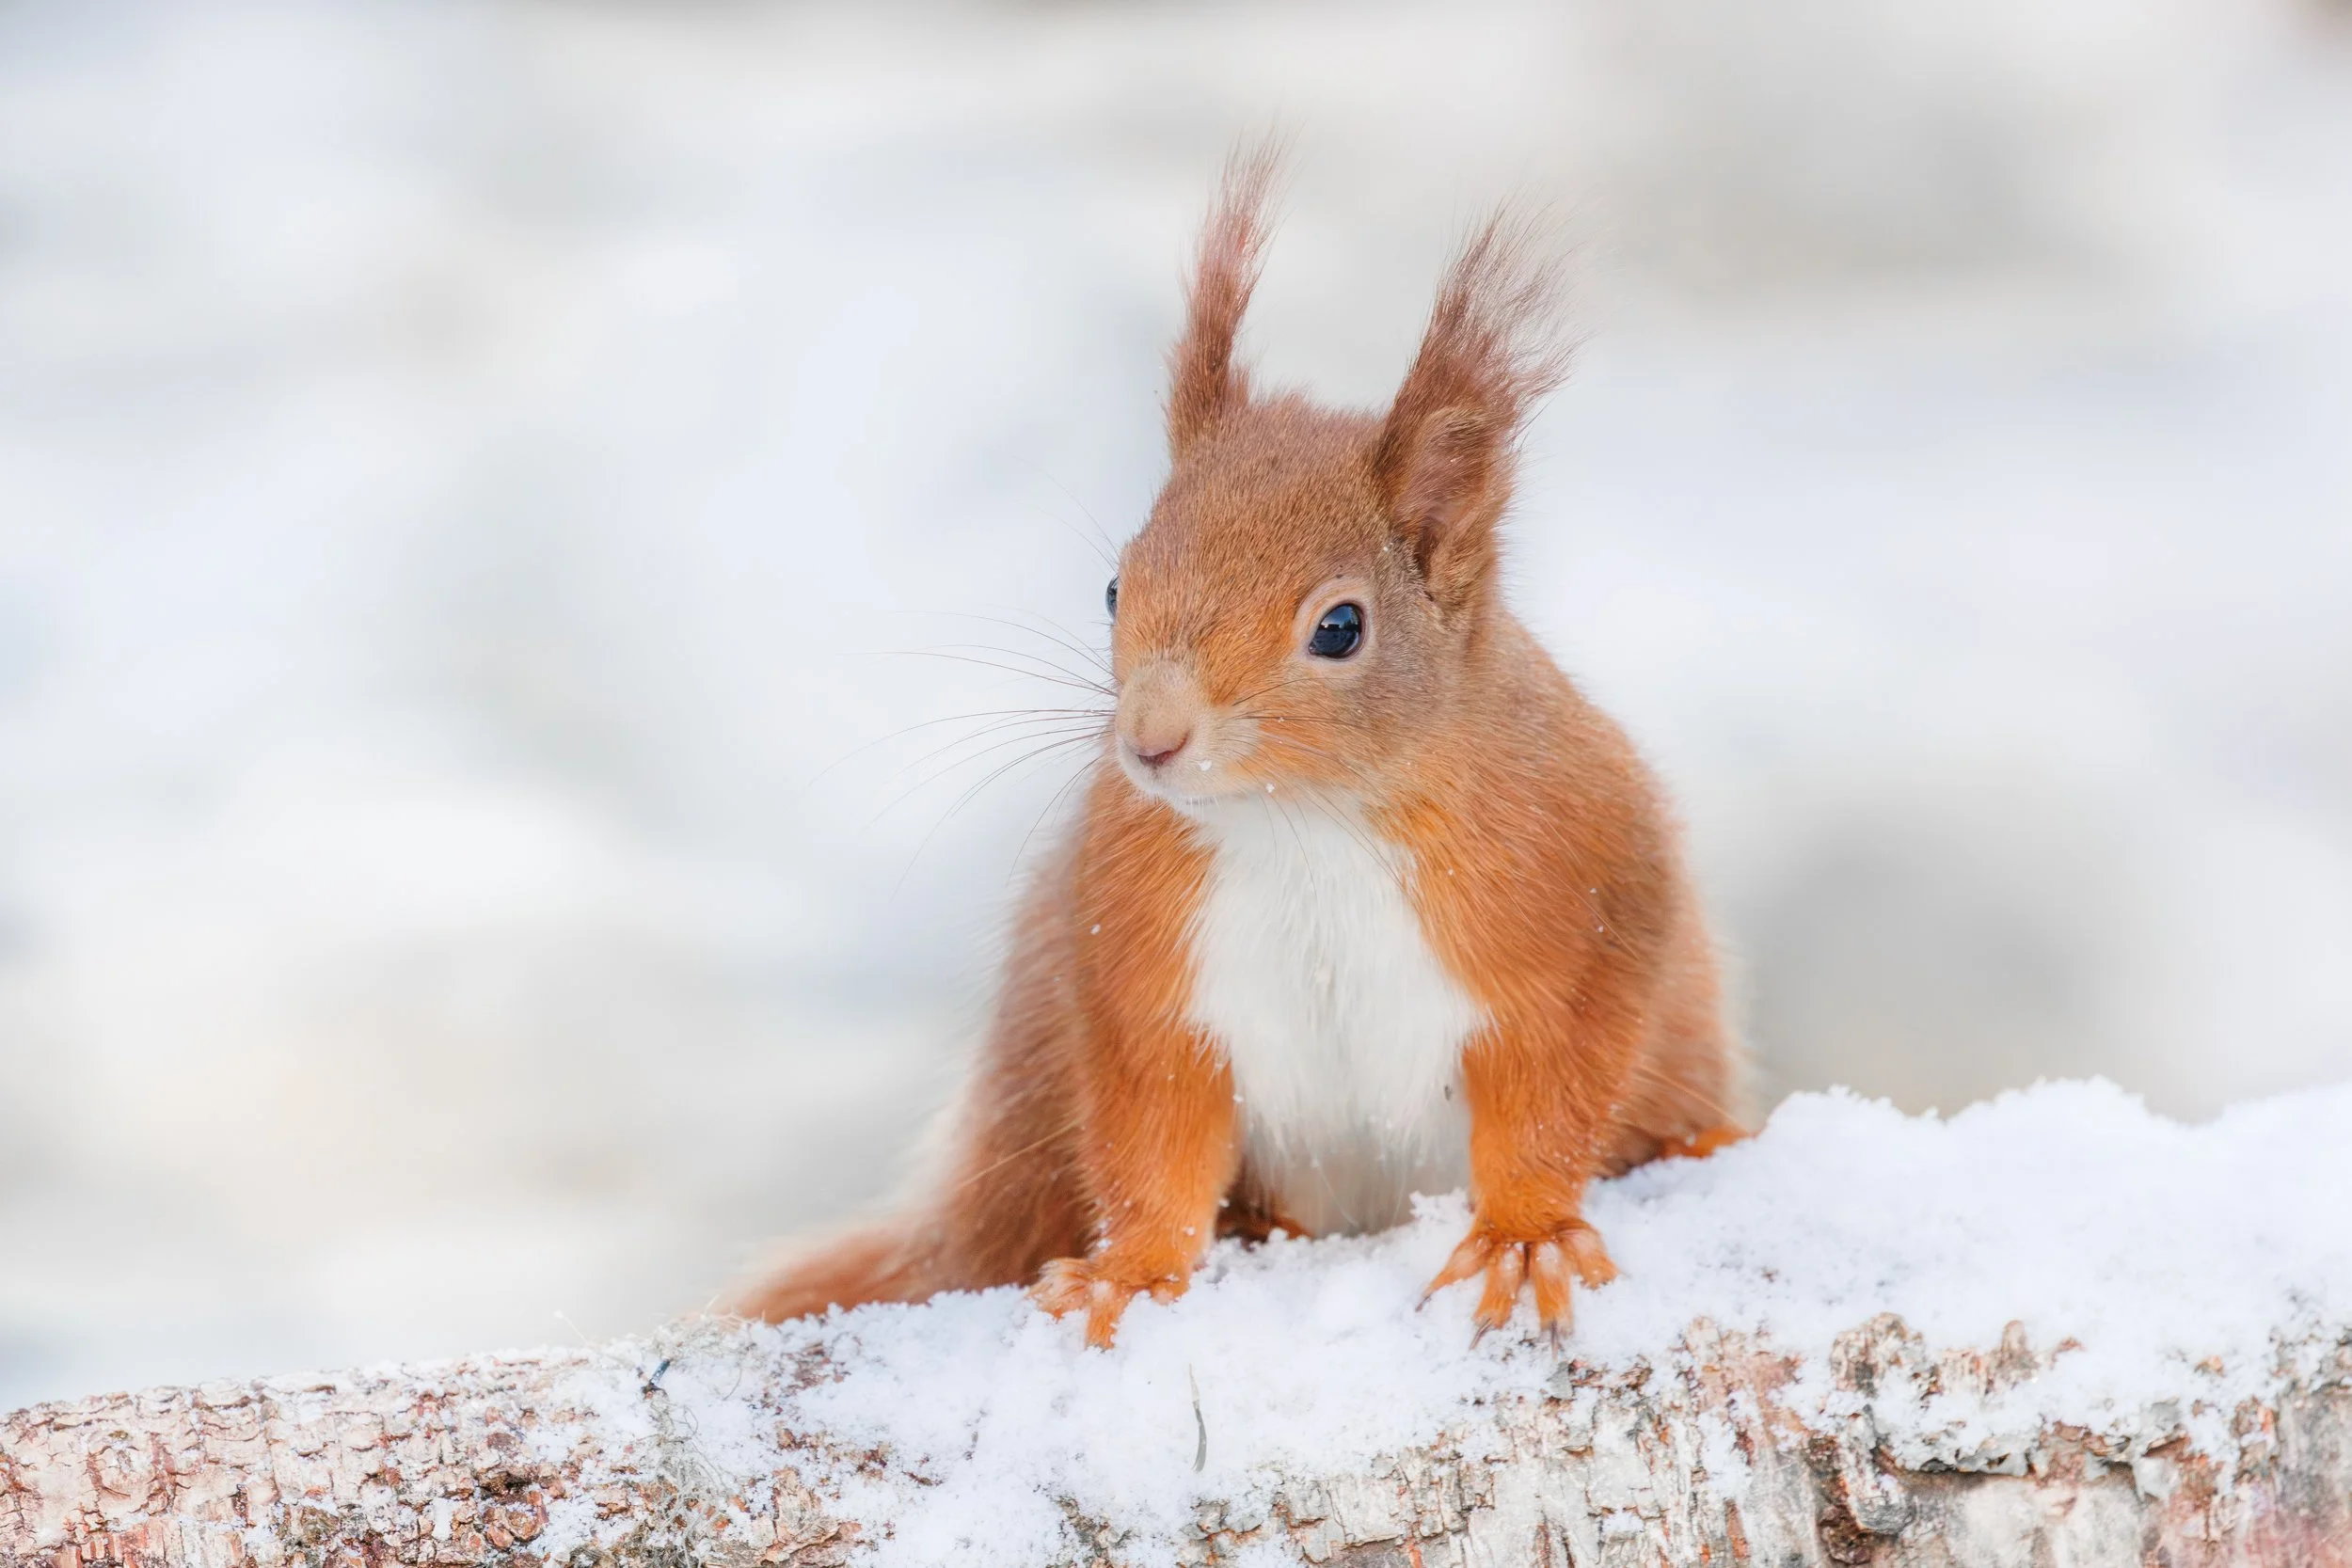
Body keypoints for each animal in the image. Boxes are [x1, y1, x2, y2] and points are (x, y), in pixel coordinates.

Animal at [738, 149, 1744, 1349]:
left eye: (1341, 626)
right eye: (1114, 584)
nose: (1150, 739)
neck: (1304, 820)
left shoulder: (1579, 906)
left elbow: (1554, 1093)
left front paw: (1526, 1231)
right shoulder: (1142, 960)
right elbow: (1152, 1139)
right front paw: (1131, 1272)